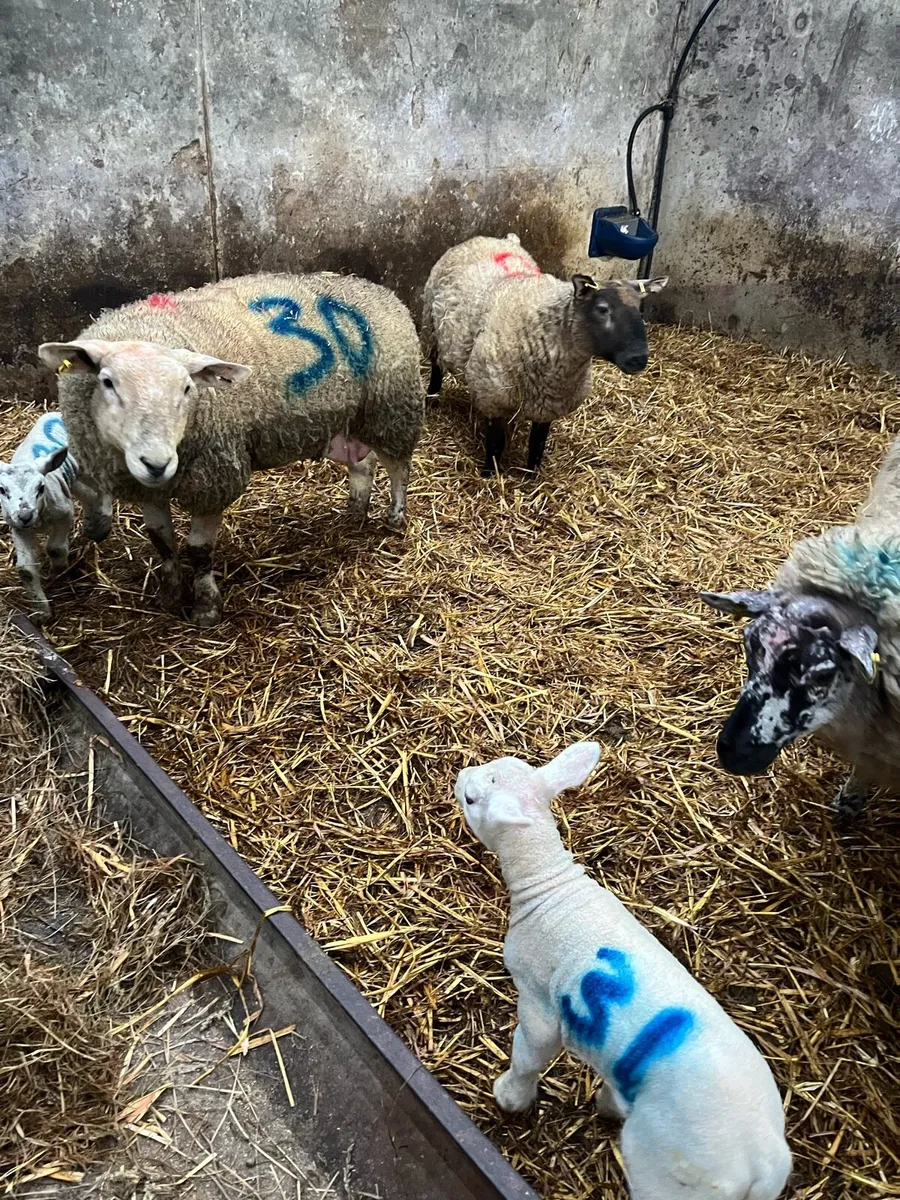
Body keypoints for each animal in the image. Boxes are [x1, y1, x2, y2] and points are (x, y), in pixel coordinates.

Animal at [0, 412, 86, 620]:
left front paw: (60, 573)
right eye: (2, 490)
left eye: (40, 488)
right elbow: (26, 571)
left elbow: (55, 548)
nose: (25, 515)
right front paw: (42, 613)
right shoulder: (18, 527)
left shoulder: (65, 512)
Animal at [39, 272, 426, 626]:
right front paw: (170, 594)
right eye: (107, 382)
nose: (156, 463)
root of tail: (379, 290)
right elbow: (161, 541)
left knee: (399, 468)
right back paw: (355, 513)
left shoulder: (213, 478)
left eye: (187, 388)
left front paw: (206, 608)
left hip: (392, 407)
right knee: (363, 463)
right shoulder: (148, 488)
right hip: (346, 420)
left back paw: (395, 518)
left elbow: (199, 551)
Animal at [421, 233, 667, 476]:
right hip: (431, 331)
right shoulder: (493, 398)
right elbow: (495, 444)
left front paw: (532, 475)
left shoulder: (548, 406)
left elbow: (537, 444)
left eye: (640, 310)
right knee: (436, 368)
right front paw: (489, 475)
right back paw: (432, 398)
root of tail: (490, 238)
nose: (638, 358)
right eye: (603, 309)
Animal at [455, 742, 792, 1200]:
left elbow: (529, 1054)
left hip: (665, 1174)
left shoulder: (538, 999)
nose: (459, 775)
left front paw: (510, 1098)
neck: (547, 883)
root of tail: (761, 1165)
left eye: (472, 798)